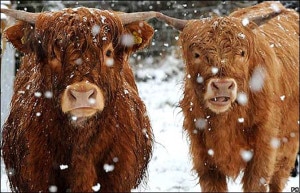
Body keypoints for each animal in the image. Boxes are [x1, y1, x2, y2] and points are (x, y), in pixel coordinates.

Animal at [157, 0, 298, 192]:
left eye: (242, 53)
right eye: (197, 54)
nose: (222, 85)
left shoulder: (263, 153)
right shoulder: (204, 157)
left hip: (289, 144)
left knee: (278, 179)